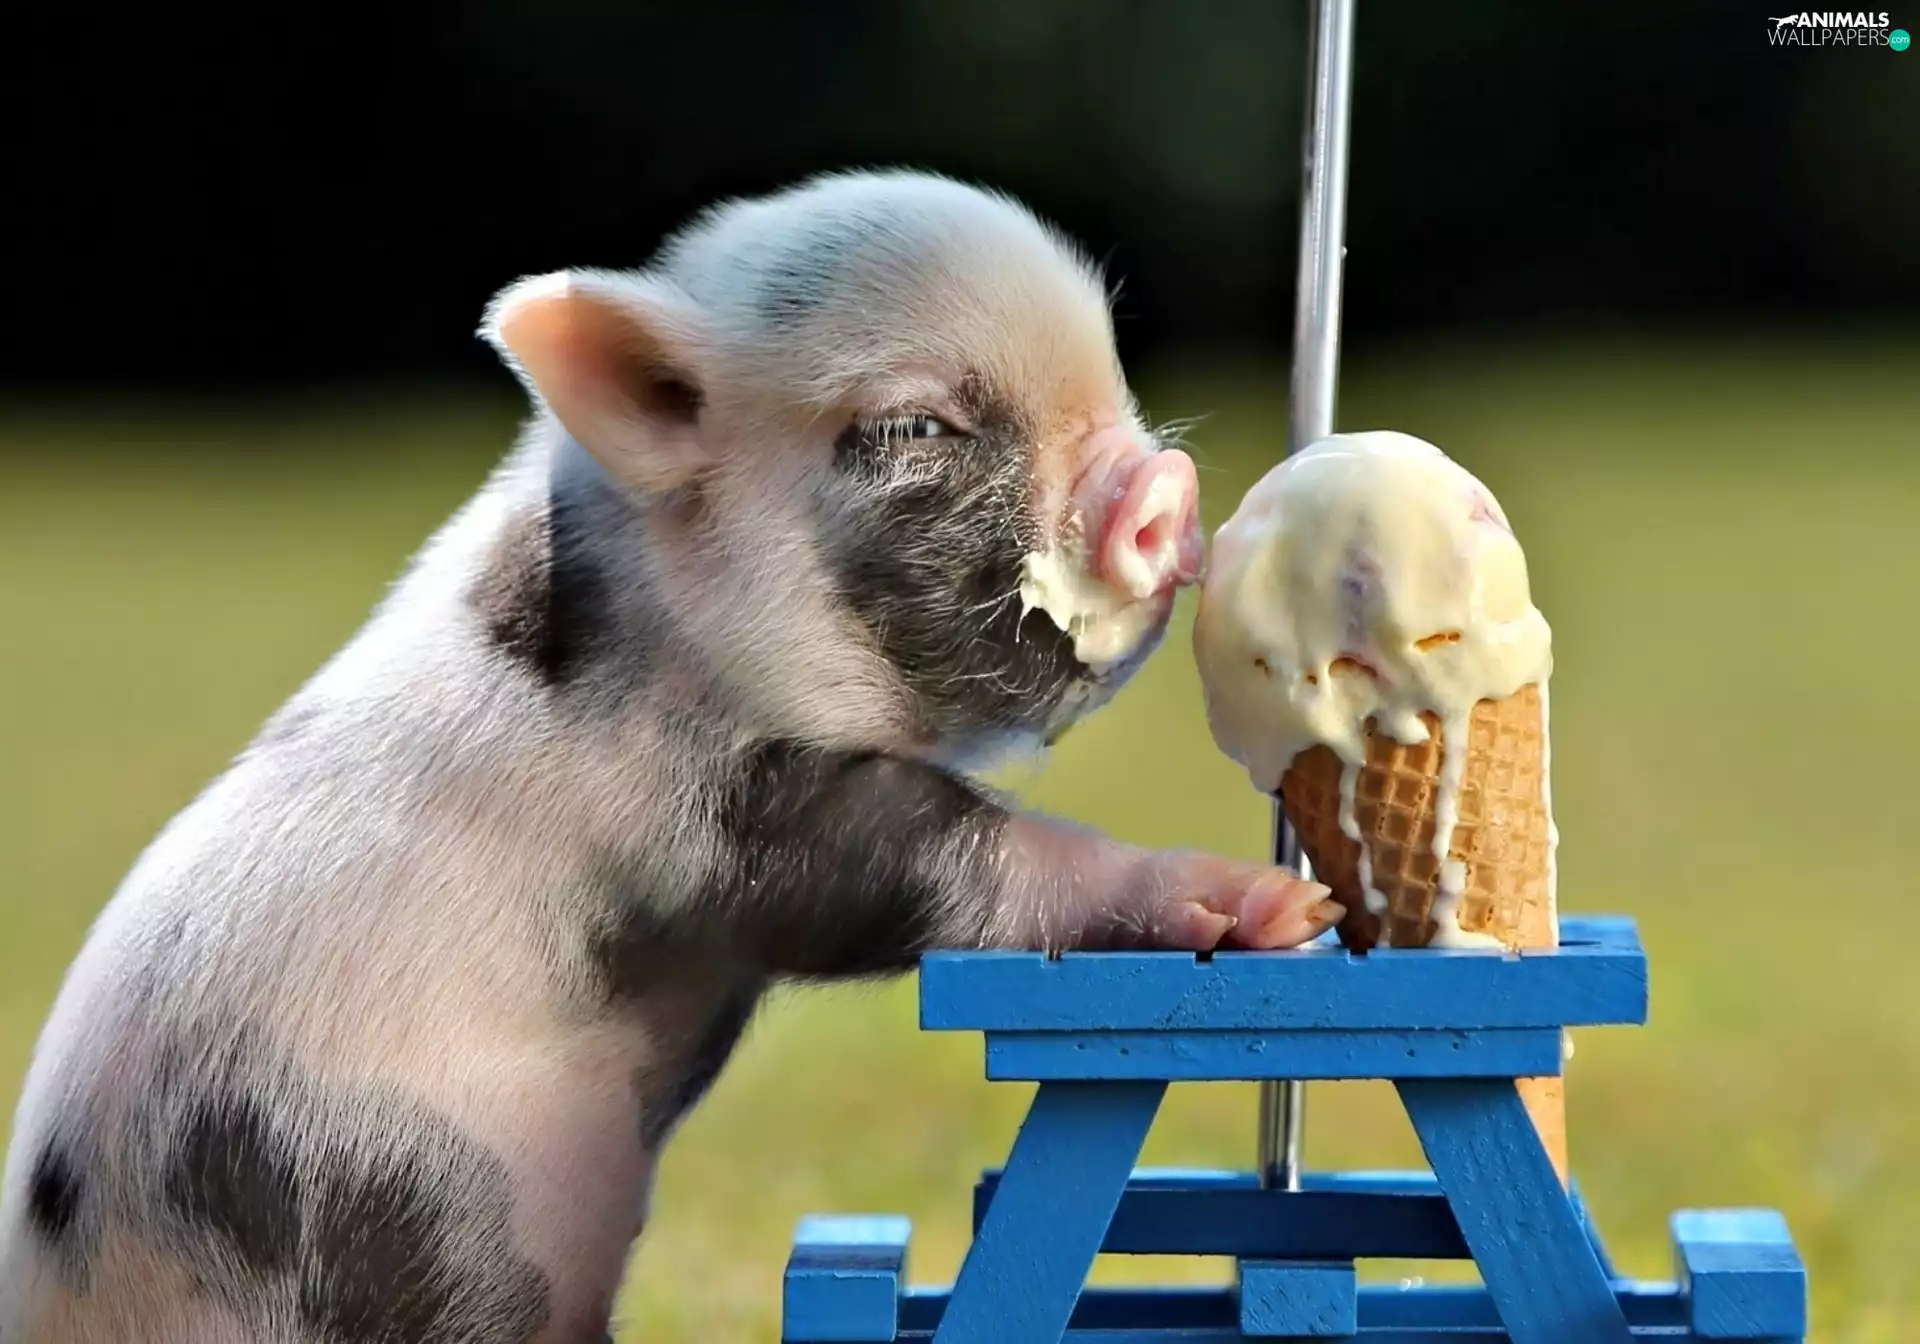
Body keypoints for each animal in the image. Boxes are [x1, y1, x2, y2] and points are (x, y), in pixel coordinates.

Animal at [0, 169, 1340, 1343]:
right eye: (914, 425)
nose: (1166, 488)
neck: (663, 619)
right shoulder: (708, 828)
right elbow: (956, 867)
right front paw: (1269, 907)